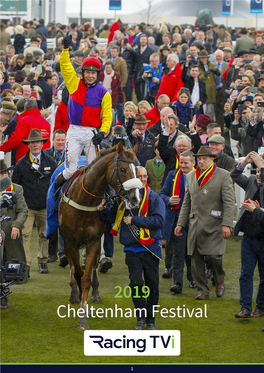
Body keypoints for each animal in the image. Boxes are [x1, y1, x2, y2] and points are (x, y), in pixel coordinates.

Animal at [57, 140, 141, 328]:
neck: (84, 200)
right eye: (123, 169)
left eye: (137, 171)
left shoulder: (93, 241)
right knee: (72, 266)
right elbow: (78, 273)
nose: (135, 199)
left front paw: (84, 315)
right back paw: (74, 293)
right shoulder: (70, 241)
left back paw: (94, 293)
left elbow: (87, 277)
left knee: (94, 266)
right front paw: (79, 299)